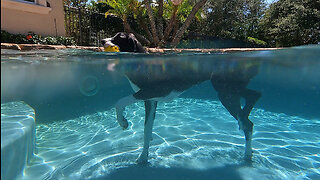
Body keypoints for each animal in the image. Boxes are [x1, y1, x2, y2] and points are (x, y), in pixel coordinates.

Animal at [104, 33, 262, 164]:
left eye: (119, 37)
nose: (102, 41)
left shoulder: (153, 92)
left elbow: (119, 102)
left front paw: (123, 122)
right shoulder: (151, 101)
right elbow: (146, 130)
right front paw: (143, 156)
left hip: (226, 91)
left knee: (249, 117)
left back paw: (247, 150)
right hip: (229, 90)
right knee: (254, 98)